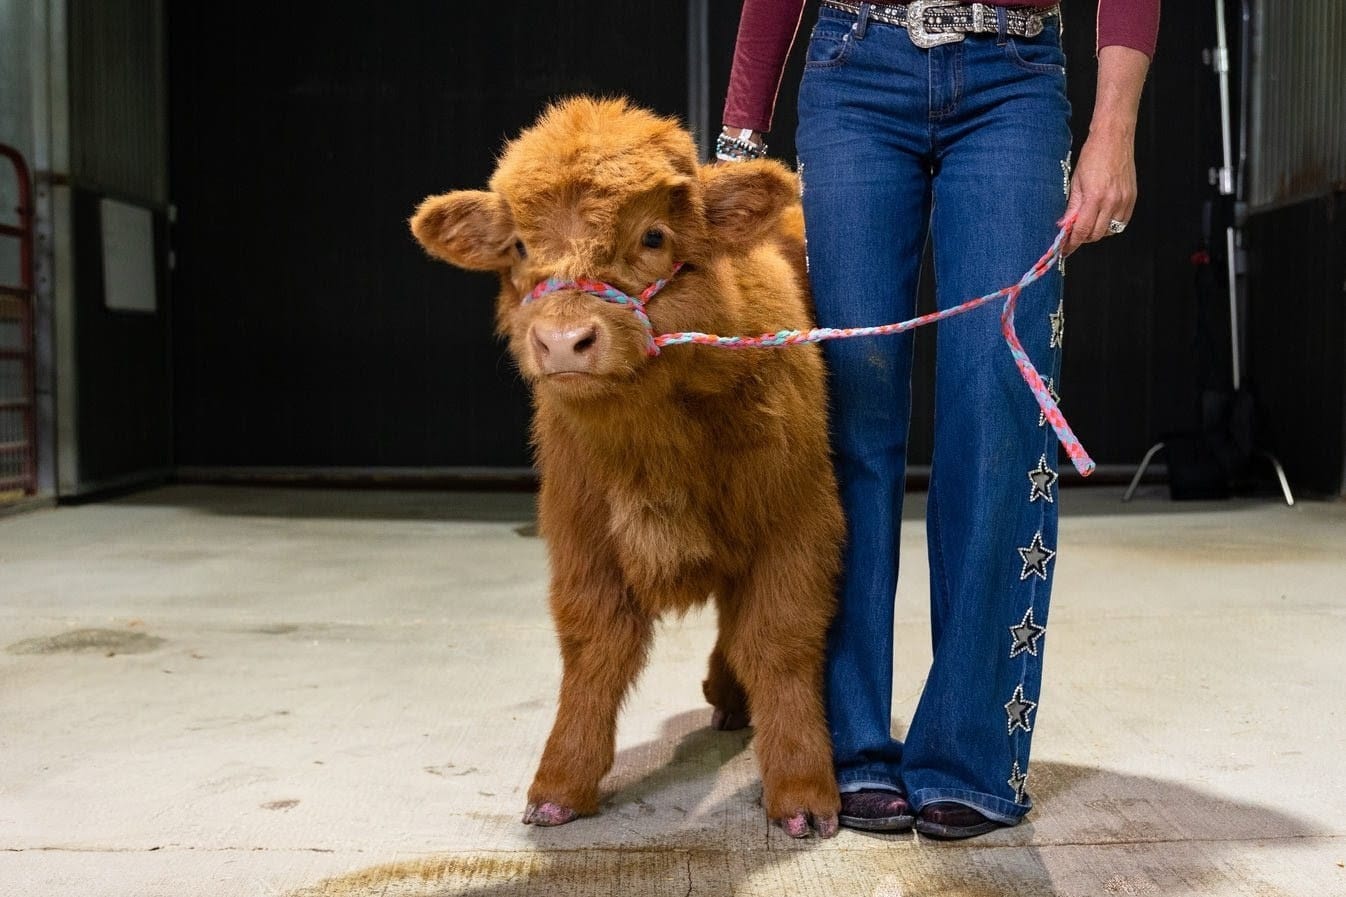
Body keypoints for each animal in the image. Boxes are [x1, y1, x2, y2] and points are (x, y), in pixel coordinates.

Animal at [410, 96, 844, 839]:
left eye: (654, 236)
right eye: (519, 246)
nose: (562, 341)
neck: (653, 441)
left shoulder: (796, 520)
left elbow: (780, 641)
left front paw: (803, 788)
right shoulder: (582, 533)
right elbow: (593, 649)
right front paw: (560, 781)